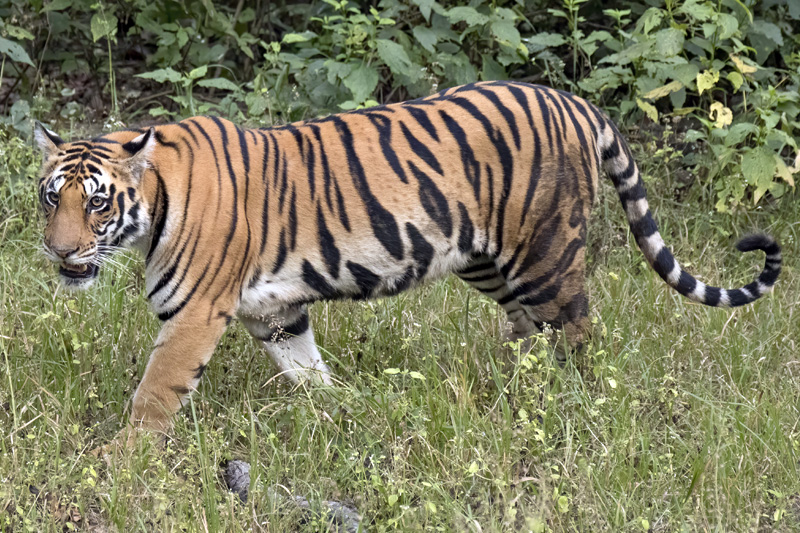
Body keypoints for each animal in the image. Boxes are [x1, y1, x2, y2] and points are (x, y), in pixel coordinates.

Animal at [36, 80, 780, 444]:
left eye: (97, 203)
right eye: (51, 197)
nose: (60, 250)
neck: (153, 205)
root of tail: (575, 102)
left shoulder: (194, 314)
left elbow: (155, 392)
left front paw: (123, 459)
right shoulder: (275, 311)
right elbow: (307, 370)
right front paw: (341, 410)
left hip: (545, 254)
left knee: (577, 334)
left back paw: (573, 405)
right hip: (486, 260)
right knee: (527, 331)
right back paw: (511, 390)